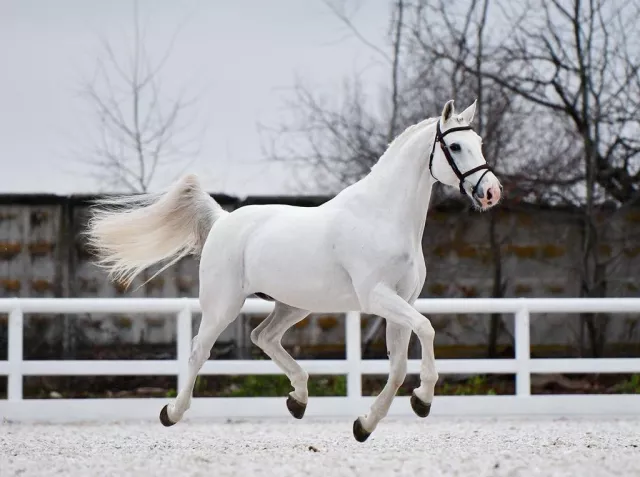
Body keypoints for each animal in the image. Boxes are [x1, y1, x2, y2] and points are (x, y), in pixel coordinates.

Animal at [87, 98, 502, 440]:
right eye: (455, 146)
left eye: (479, 142)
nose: (491, 192)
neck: (382, 216)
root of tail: (223, 220)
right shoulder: (377, 298)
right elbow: (427, 330)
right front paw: (423, 399)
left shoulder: (402, 302)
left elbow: (399, 365)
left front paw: (367, 424)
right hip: (223, 304)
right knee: (198, 351)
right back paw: (172, 412)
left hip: (294, 304)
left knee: (263, 337)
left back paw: (298, 399)